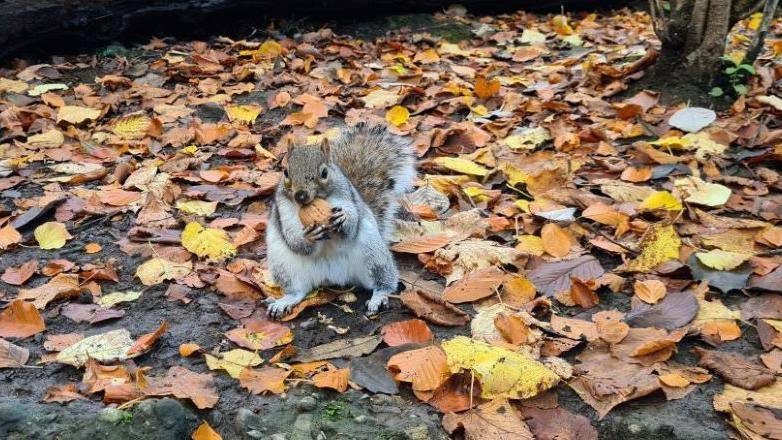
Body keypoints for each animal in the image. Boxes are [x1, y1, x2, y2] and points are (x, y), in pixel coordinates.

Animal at [266, 124, 420, 320]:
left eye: (324, 173)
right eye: (286, 172)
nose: (300, 195)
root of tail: (331, 276)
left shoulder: (347, 196)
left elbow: (351, 226)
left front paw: (344, 219)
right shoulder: (282, 210)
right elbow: (293, 239)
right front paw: (309, 236)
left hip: (373, 254)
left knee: (383, 281)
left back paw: (379, 296)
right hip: (285, 266)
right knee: (298, 291)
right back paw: (285, 301)